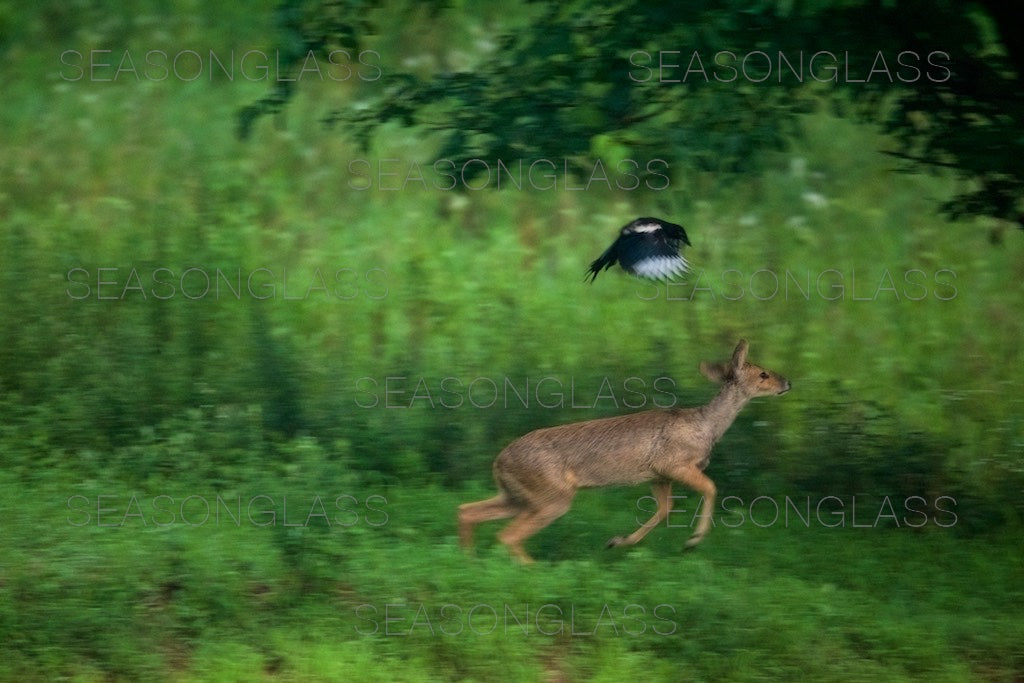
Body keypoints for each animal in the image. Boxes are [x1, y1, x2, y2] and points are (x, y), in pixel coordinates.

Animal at [458, 339, 790, 565]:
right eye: (762, 374)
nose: (787, 381)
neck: (705, 426)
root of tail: (498, 462)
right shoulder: (673, 464)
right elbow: (710, 488)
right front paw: (692, 541)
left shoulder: (658, 476)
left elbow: (665, 509)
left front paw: (617, 542)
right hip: (551, 496)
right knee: (507, 534)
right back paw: (533, 570)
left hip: (518, 495)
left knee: (467, 511)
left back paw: (468, 562)